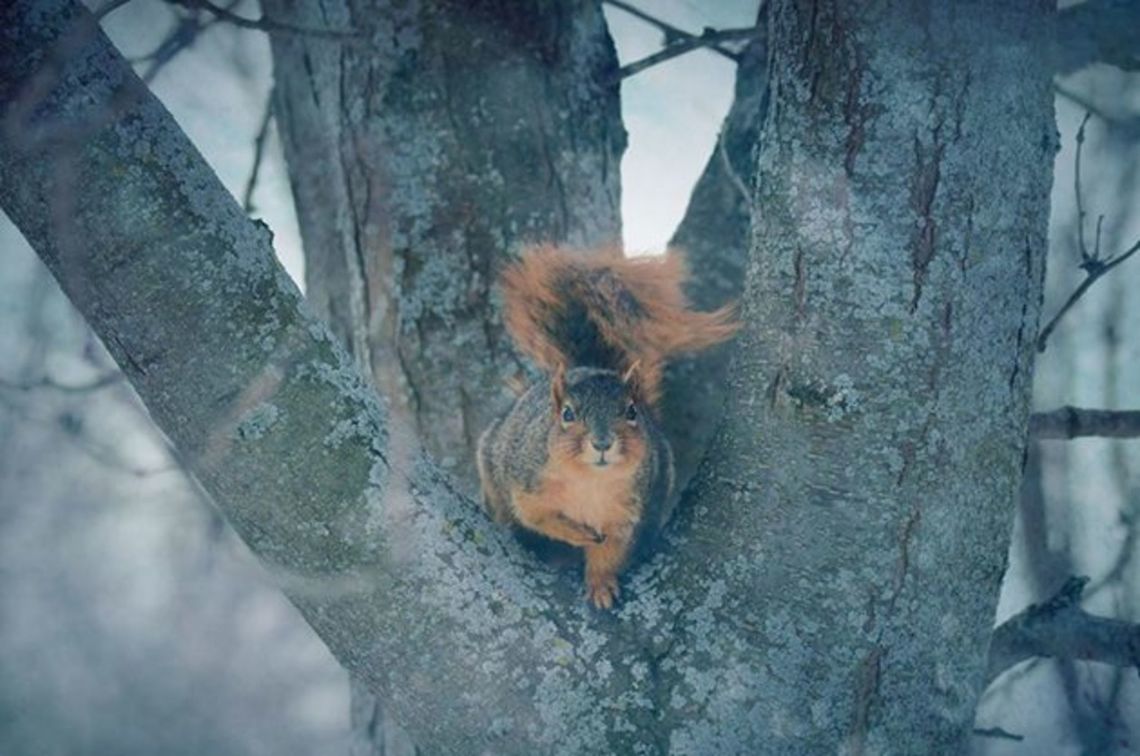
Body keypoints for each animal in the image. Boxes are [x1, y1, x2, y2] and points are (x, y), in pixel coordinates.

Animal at [476, 245, 738, 608]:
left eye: (631, 411)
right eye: (567, 414)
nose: (602, 443)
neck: (590, 481)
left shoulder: (625, 513)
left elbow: (609, 553)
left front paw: (601, 586)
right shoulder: (527, 481)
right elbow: (537, 516)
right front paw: (577, 533)